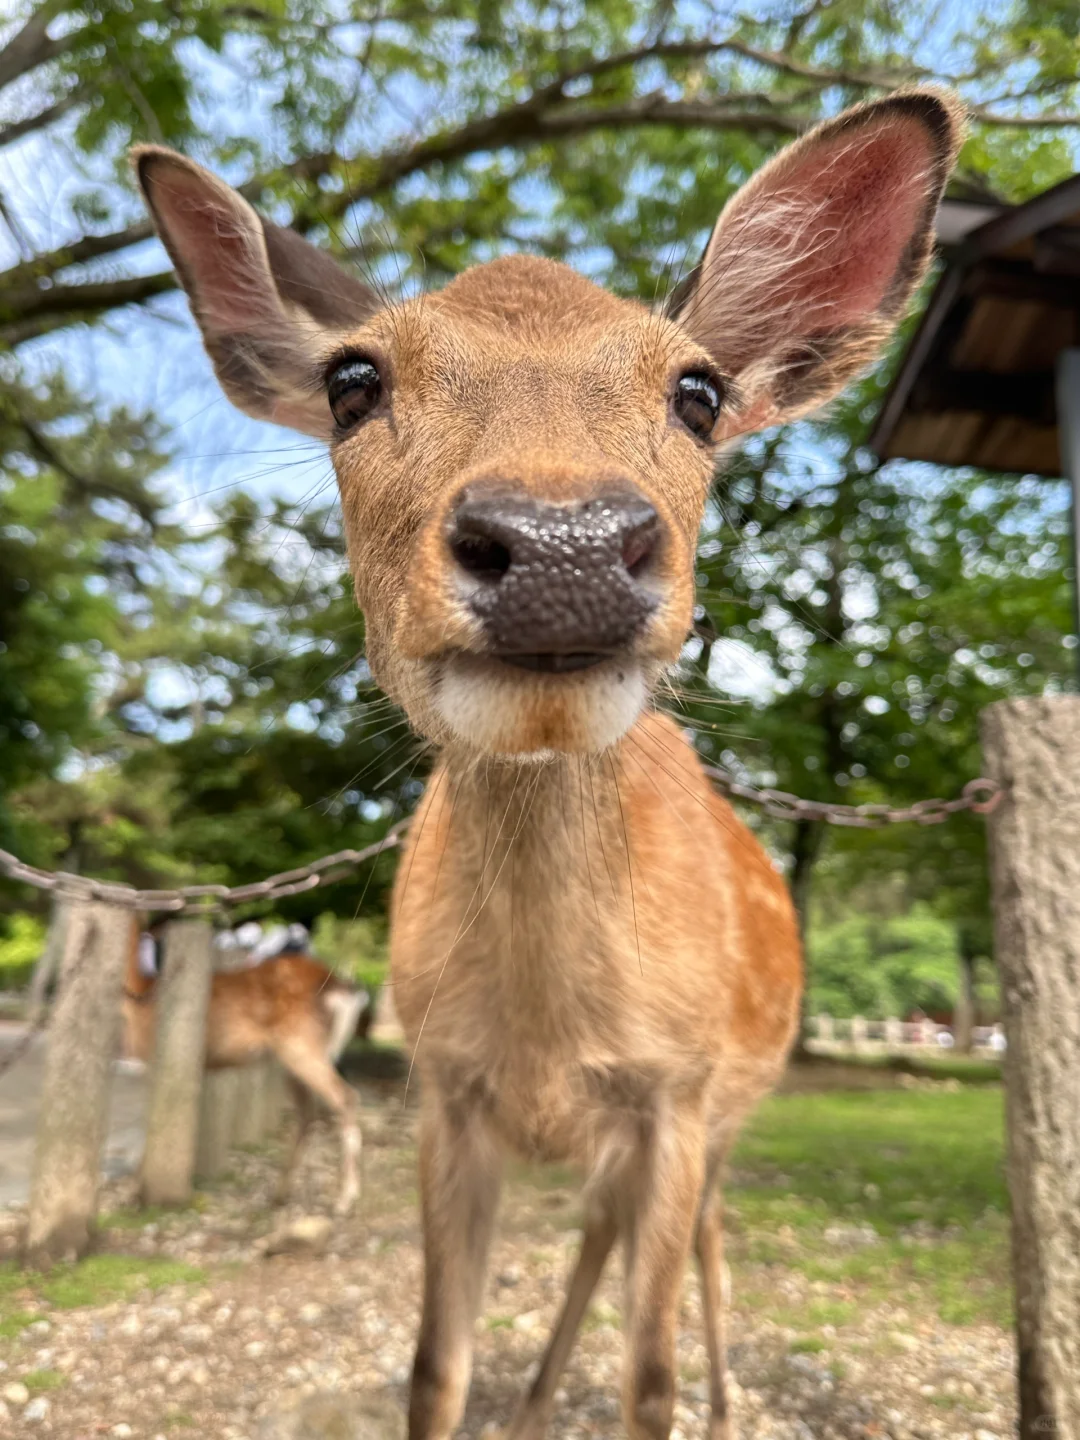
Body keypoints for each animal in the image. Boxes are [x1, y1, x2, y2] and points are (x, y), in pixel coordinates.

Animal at [121, 915, 368, 1209]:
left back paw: (345, 1199)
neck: (139, 994)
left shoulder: (152, 1060)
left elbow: (148, 1125)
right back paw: (280, 1194)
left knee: (346, 1097)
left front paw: (135, 1192)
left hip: (301, 1043)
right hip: (289, 1057)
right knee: (309, 1110)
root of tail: (343, 990)